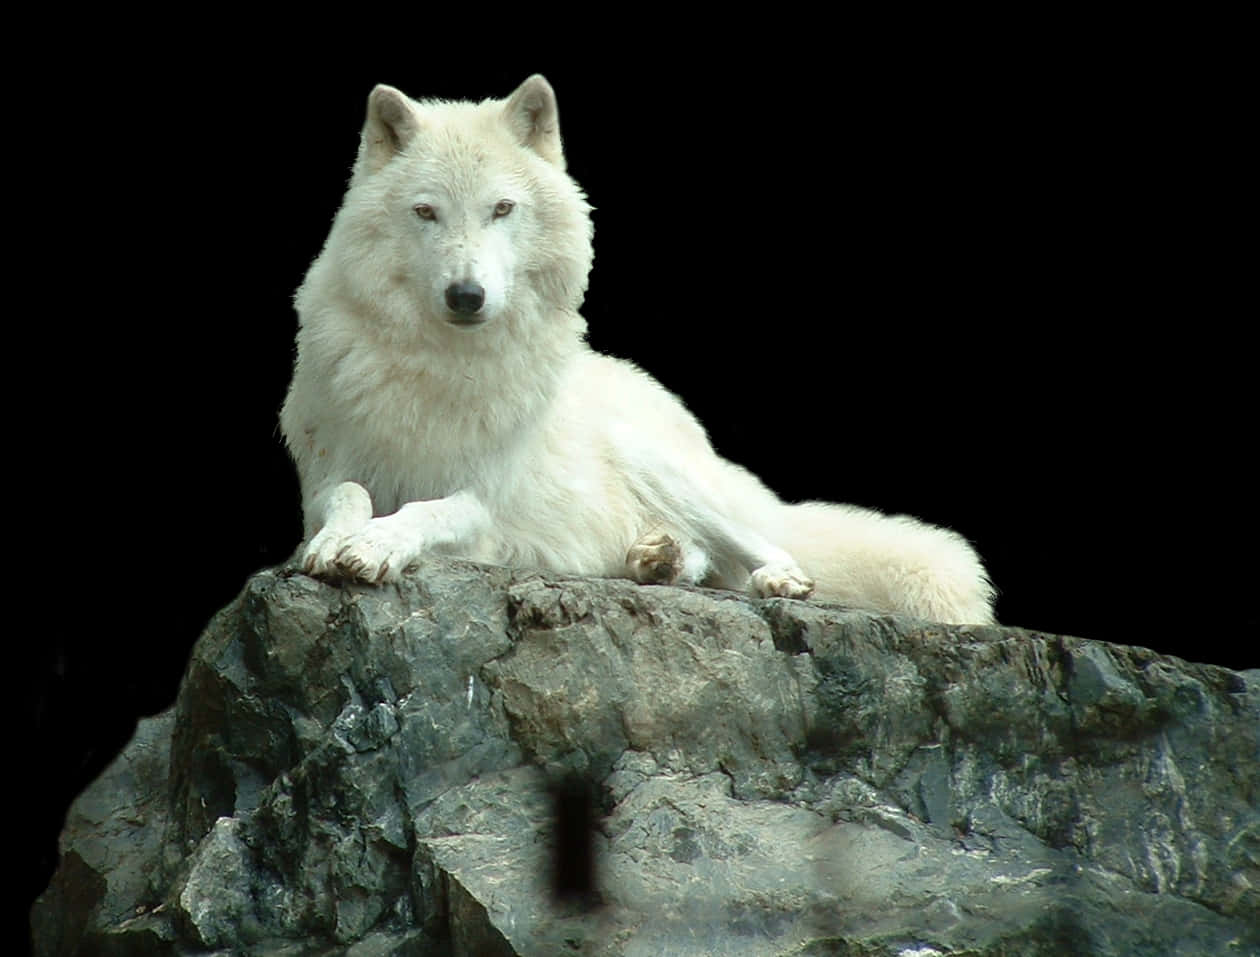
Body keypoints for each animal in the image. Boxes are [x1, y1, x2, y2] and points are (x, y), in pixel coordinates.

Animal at [280, 76, 997, 627]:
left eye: (502, 208)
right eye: (426, 212)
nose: (466, 295)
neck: (441, 366)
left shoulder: (484, 503)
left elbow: (428, 509)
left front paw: (377, 544)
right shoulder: (323, 480)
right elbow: (347, 495)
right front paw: (341, 541)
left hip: (657, 463)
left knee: (759, 545)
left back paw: (770, 577)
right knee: (704, 558)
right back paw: (656, 558)